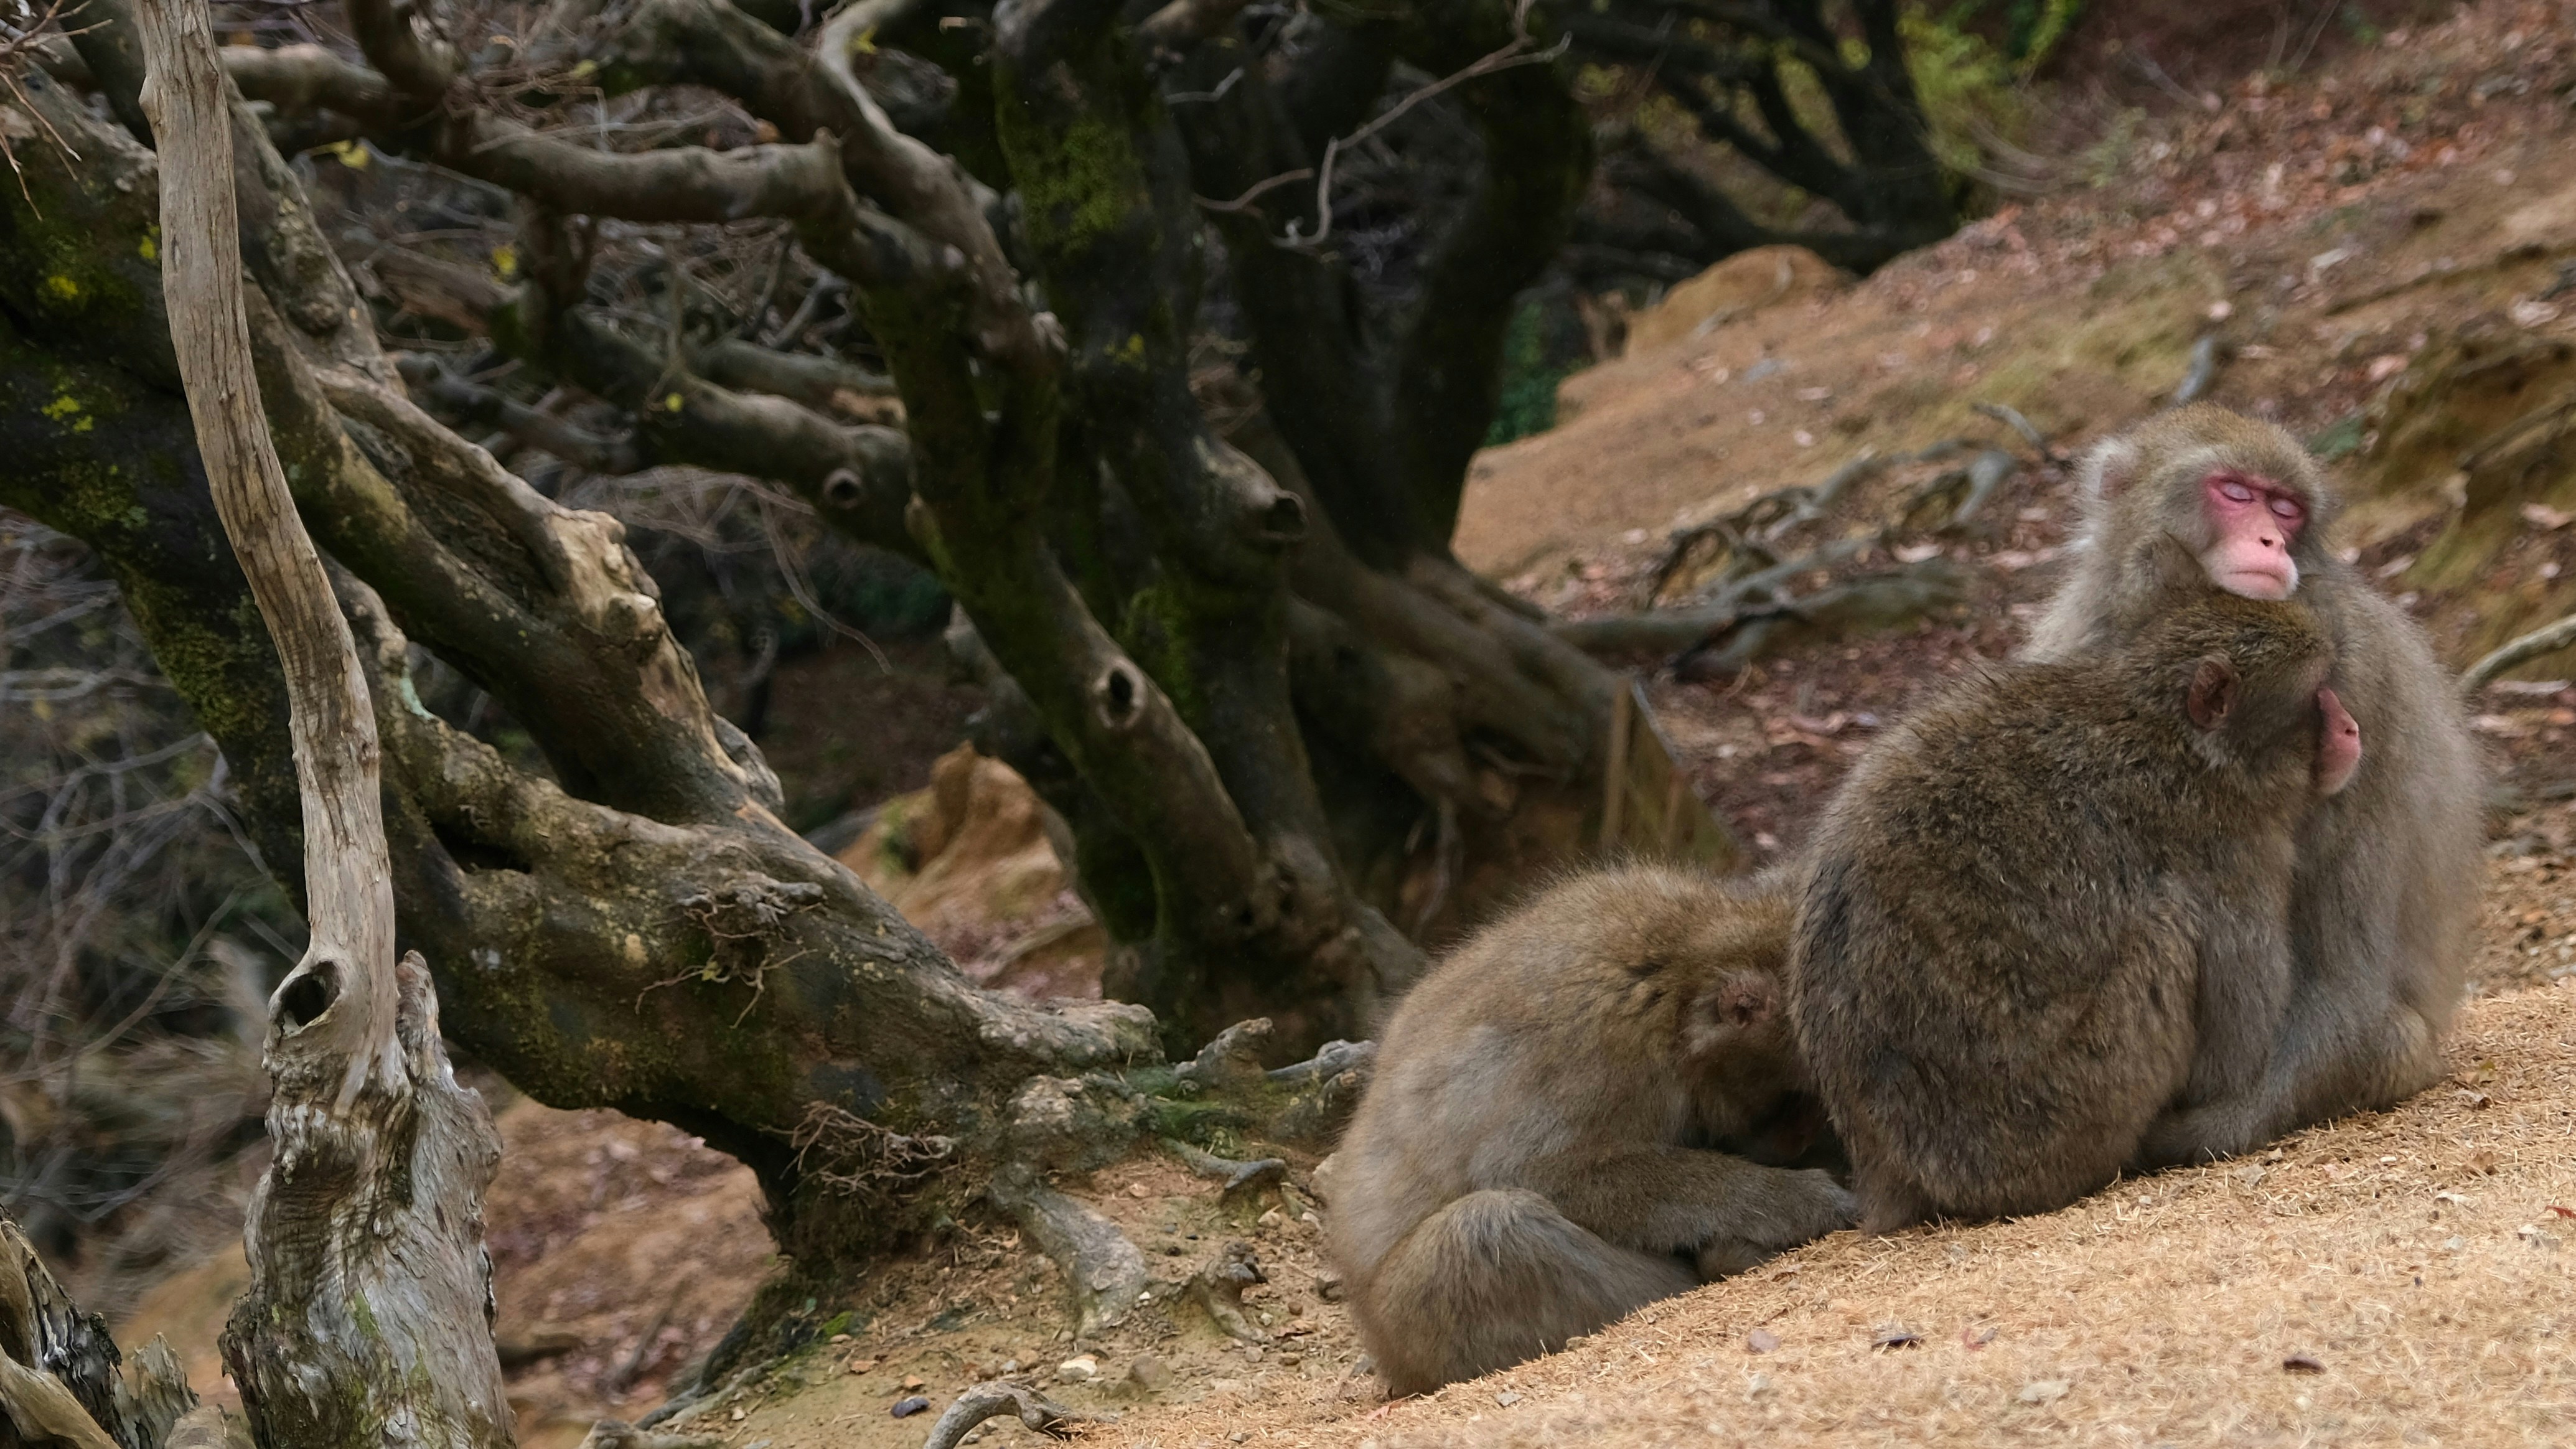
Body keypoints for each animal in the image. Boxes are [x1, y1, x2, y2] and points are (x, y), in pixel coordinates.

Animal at [1326, 866, 1856, 1396]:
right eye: (1796, 1098)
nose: (1799, 1138)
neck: (1681, 968)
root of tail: (1389, 1360)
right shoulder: (1601, 1049)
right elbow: (1539, 1172)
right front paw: (1803, 1200)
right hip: (1414, 1330)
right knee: (1484, 1231)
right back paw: (1724, 1260)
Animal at [1789, 577, 2363, 1232]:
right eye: (2317, 695)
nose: (2350, 727)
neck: (2176, 741)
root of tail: (1885, 1166)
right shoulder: (2228, 849)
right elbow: (2236, 1050)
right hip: (2057, 1114)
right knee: (2166, 934)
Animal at [2022, 404, 2483, 1165]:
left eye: (2286, 508)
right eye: (2236, 494)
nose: (2270, 538)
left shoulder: (2359, 668)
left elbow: (2345, 973)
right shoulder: (2077, 648)